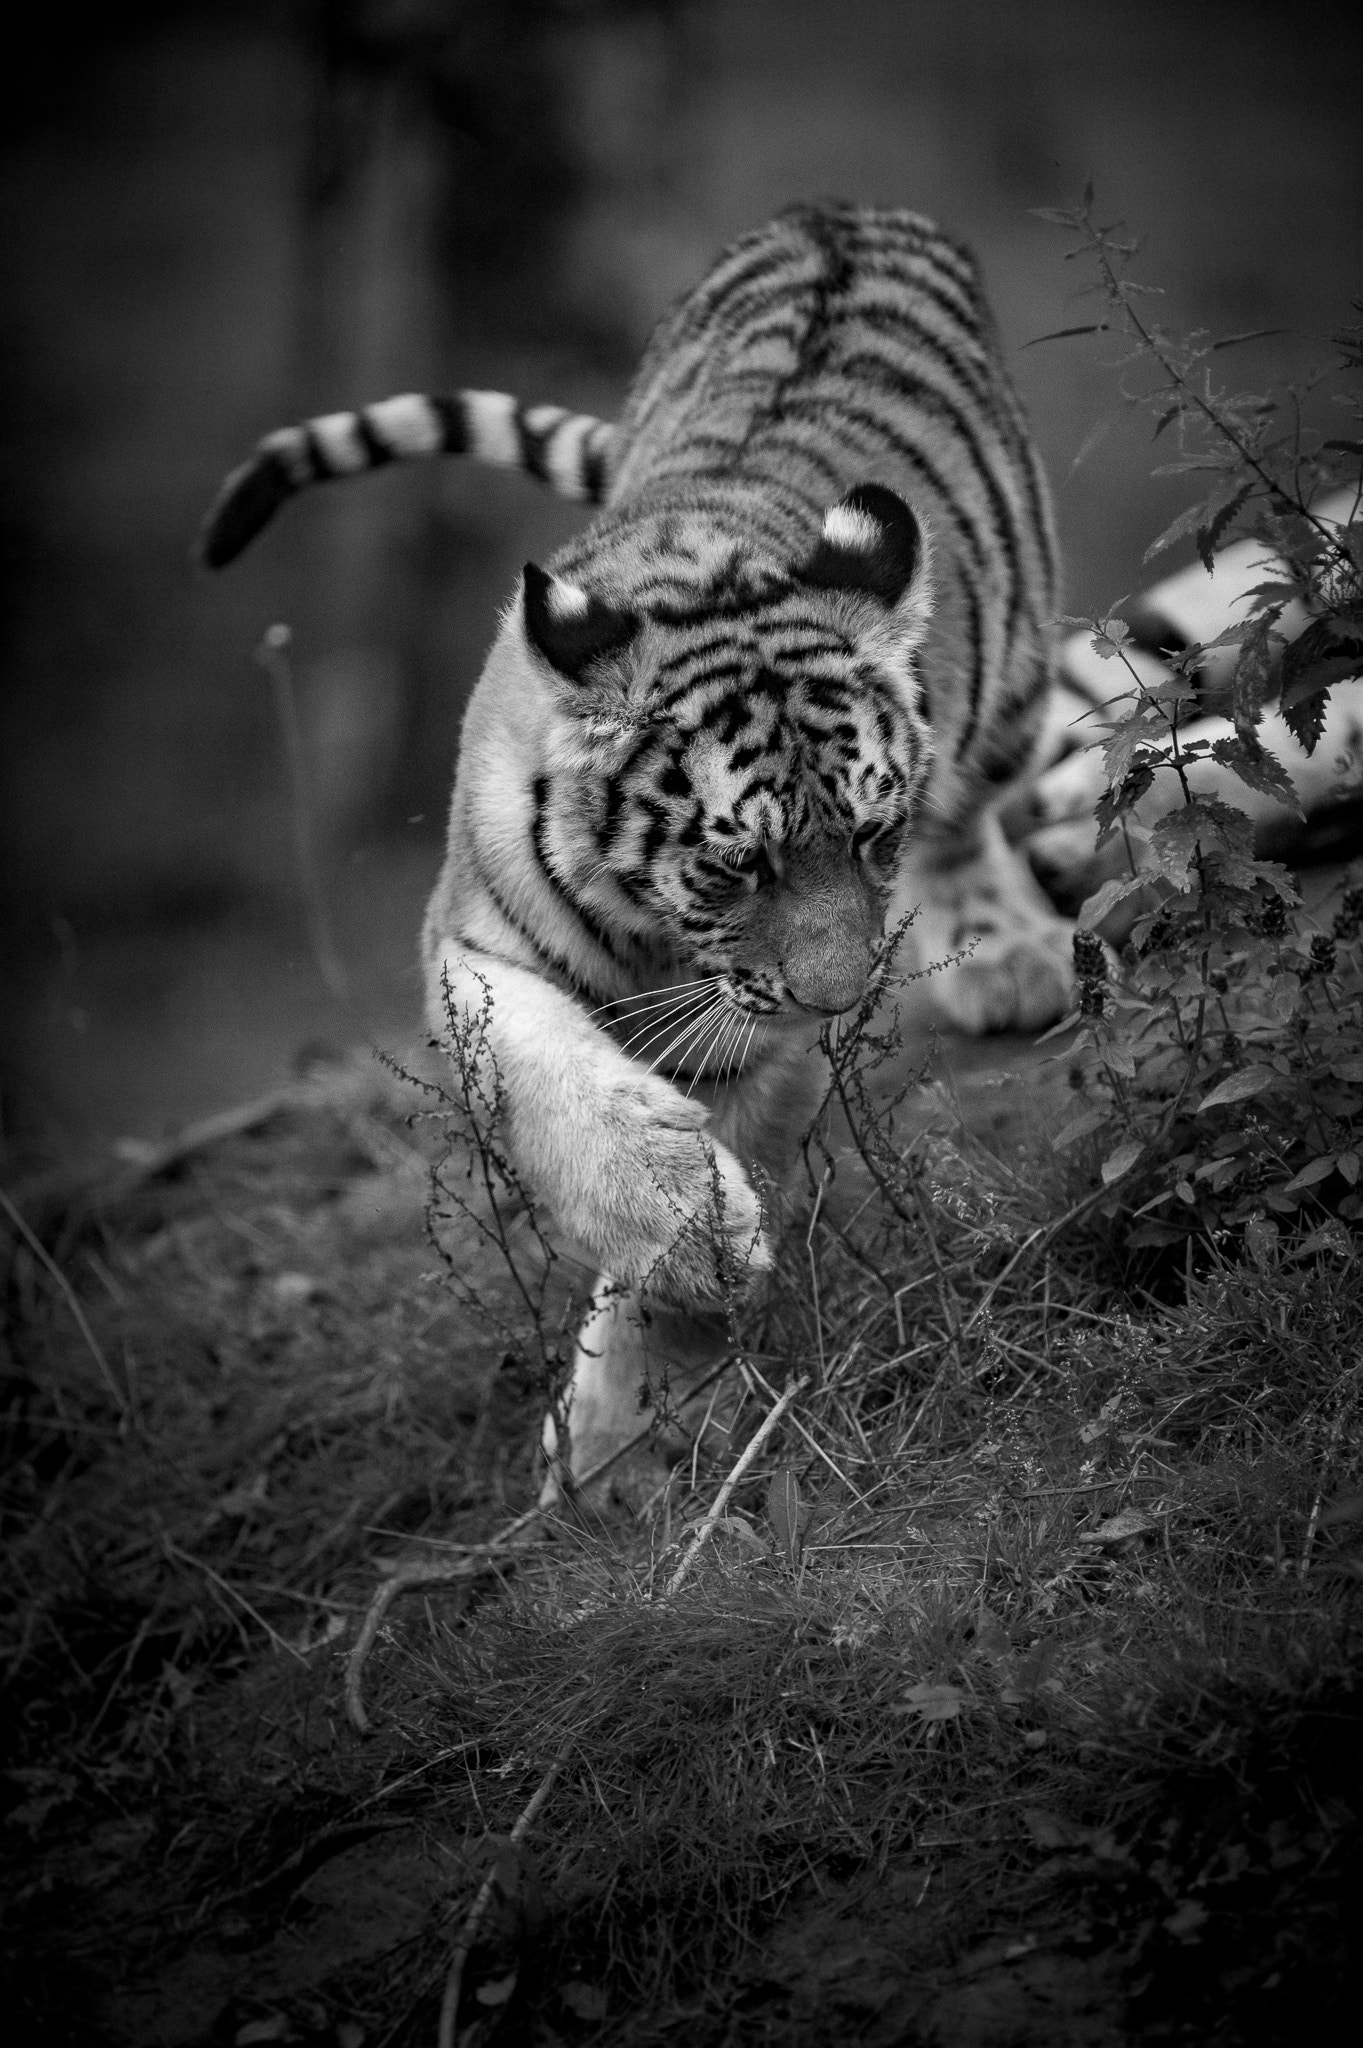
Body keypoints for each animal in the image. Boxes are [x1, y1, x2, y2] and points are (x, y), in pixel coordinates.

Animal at [200, 201, 1104, 1505]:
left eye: (866, 835)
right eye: (735, 865)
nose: (845, 995)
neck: (654, 927)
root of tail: (842, 213)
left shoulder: (762, 1031)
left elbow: (715, 1182)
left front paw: (633, 1419)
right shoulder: (473, 947)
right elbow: (549, 1092)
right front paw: (684, 1255)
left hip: (1016, 668)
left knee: (974, 804)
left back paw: (1003, 953)